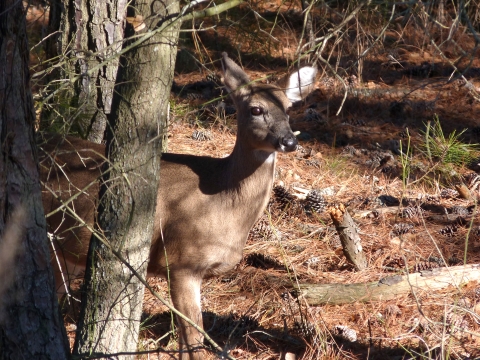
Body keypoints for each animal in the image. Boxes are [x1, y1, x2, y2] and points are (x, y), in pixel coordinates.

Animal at [39, 52, 316, 358]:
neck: (223, 200)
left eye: (288, 109)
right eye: (256, 109)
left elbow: (185, 342)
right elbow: (195, 339)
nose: (289, 141)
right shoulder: (182, 261)